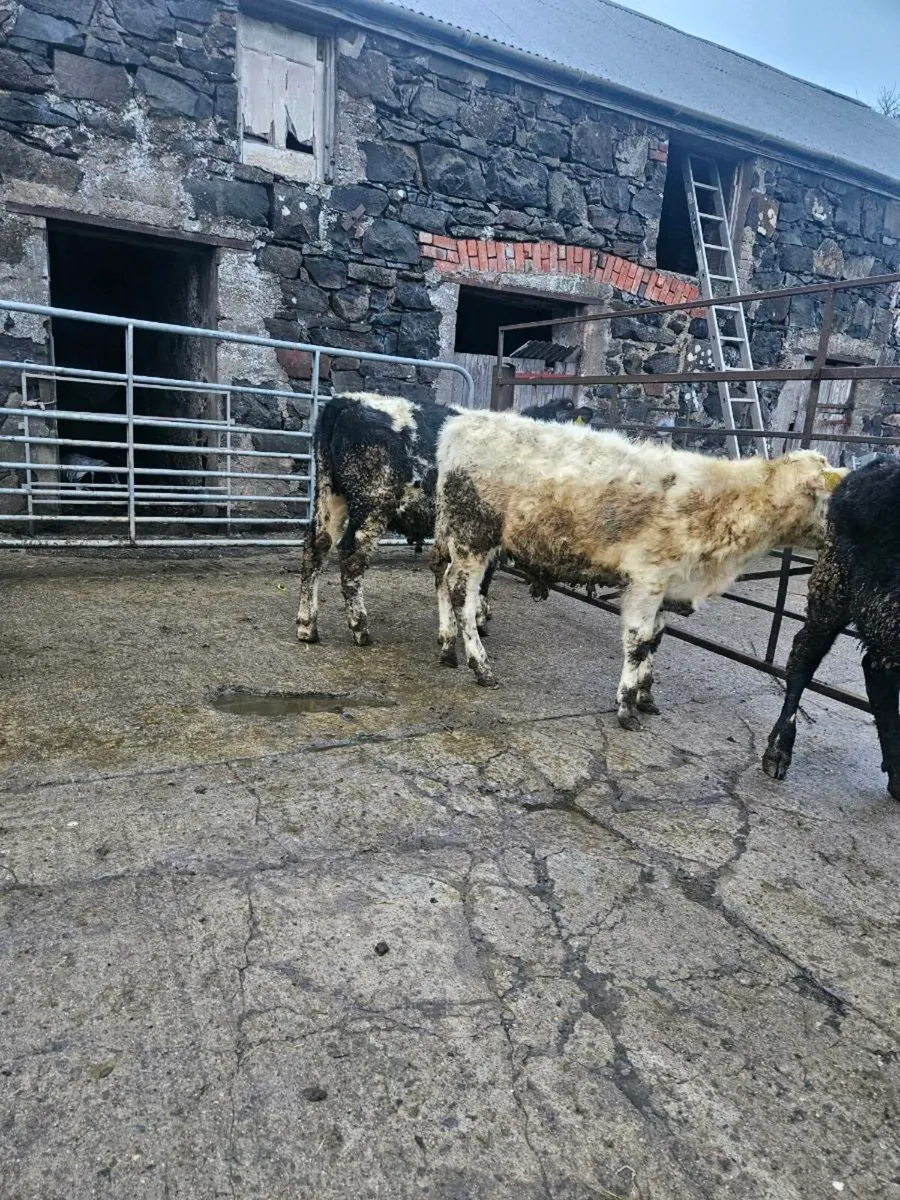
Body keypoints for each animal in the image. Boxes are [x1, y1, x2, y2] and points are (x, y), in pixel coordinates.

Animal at [431, 410, 845, 729]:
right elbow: (638, 641)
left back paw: (448, 646)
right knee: (462, 594)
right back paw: (480, 666)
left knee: (443, 576)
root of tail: (462, 422)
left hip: (455, 535)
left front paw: (646, 696)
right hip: (474, 534)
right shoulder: (647, 580)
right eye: (836, 495)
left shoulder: (668, 586)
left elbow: (656, 640)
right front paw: (627, 706)